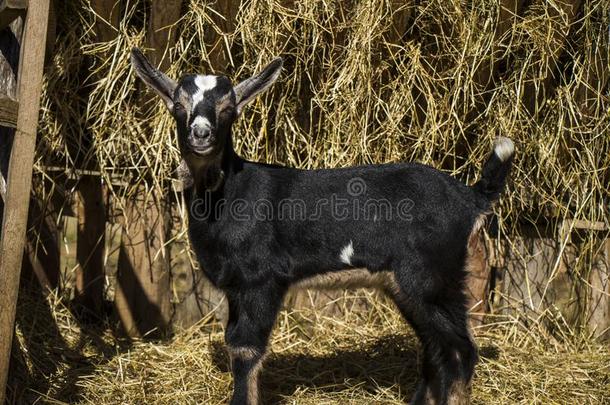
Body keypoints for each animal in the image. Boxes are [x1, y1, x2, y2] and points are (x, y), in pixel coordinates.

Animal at [131, 48, 510, 404]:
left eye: (228, 109)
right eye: (178, 106)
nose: (201, 134)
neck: (229, 193)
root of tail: (470, 197)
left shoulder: (261, 280)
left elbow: (246, 348)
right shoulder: (236, 288)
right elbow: (233, 342)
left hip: (433, 275)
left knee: (459, 349)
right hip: (406, 284)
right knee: (436, 348)